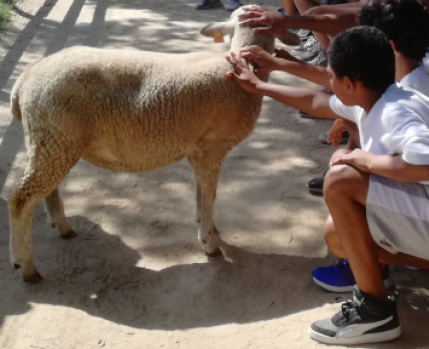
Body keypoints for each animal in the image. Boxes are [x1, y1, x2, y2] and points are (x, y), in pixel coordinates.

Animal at [8, 5, 274, 280]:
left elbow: (201, 191)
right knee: (20, 200)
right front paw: (210, 243)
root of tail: (24, 81)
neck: (240, 70)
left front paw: (206, 224)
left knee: (47, 189)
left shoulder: (197, 149)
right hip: (54, 138)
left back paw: (62, 226)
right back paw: (26, 267)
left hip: (50, 141)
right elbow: (210, 194)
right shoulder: (213, 146)